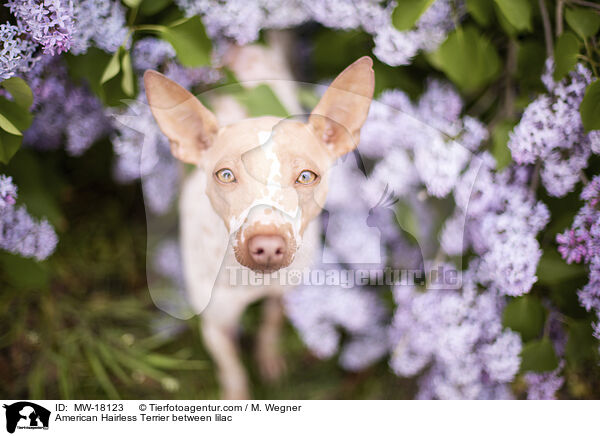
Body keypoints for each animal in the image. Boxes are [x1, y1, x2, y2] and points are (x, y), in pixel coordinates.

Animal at [144, 41, 372, 398]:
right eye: (225, 175)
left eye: (306, 176)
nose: (266, 245)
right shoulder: (216, 325)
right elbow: (232, 370)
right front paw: (237, 395)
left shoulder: (284, 292)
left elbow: (271, 323)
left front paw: (268, 355)